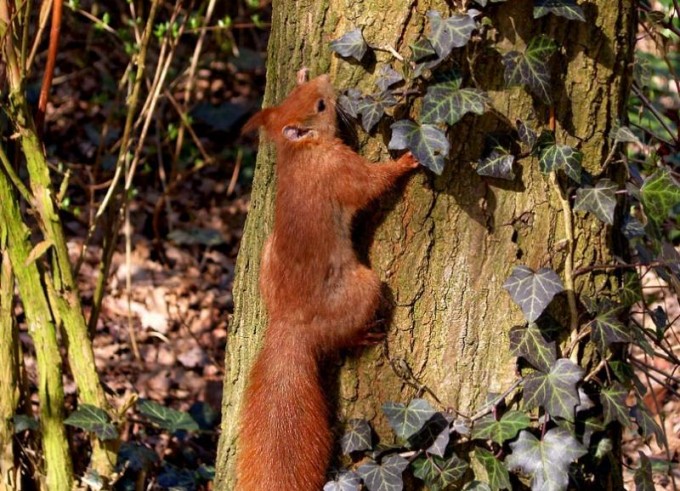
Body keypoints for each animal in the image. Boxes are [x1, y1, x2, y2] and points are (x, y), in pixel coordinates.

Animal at [236, 70, 419, 490]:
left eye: (298, 91)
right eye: (320, 105)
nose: (324, 78)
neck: (302, 152)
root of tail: (289, 325)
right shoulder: (341, 171)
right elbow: (371, 183)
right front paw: (405, 161)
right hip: (362, 288)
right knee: (341, 336)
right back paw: (363, 334)